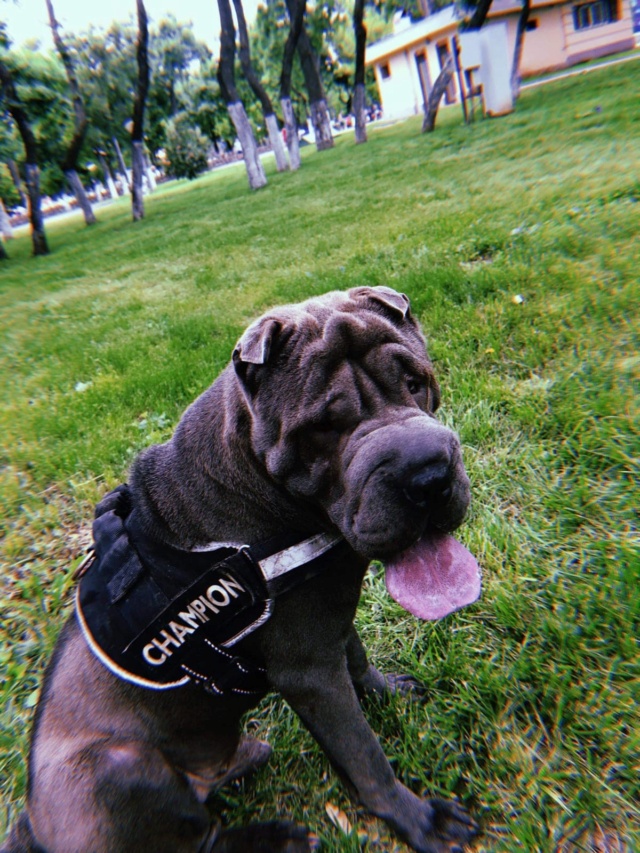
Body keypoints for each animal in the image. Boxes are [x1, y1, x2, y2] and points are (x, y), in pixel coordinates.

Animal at [1, 288, 480, 852]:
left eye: (415, 383)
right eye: (323, 426)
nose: (428, 475)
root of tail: (30, 823)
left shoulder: (325, 621)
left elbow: (358, 660)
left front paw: (387, 693)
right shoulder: (309, 670)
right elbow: (364, 756)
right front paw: (419, 819)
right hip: (116, 767)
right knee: (195, 837)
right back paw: (274, 835)